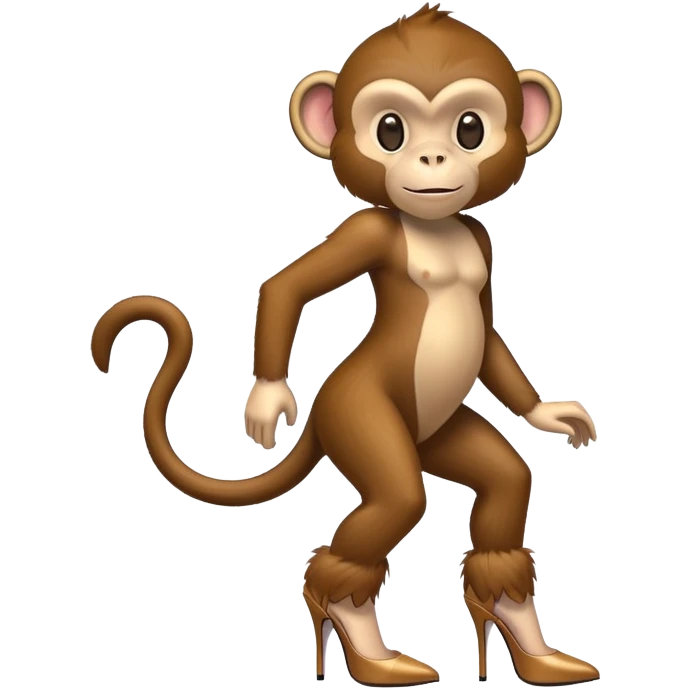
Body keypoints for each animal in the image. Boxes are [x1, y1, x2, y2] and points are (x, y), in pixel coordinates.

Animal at [89, 4, 599, 687]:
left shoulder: (481, 237)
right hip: (356, 415)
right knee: (394, 501)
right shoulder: (369, 229)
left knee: (507, 483)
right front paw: (268, 403)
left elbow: (492, 341)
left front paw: (552, 414)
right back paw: (370, 655)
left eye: (470, 128)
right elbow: (286, 287)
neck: (433, 228)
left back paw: (535, 654)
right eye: (390, 130)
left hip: (441, 435)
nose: (433, 157)